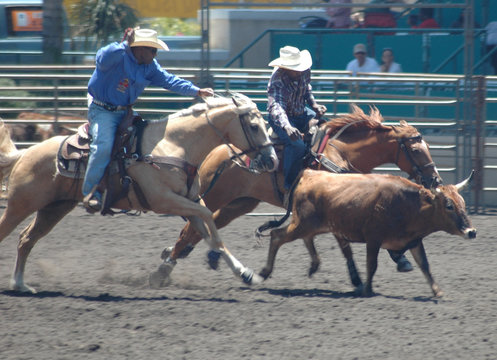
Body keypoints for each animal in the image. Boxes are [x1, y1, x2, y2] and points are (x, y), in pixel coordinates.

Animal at [0, 93, 280, 292]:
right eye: (254, 126)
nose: (272, 160)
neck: (173, 145)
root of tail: (26, 152)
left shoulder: (189, 199)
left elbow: (208, 227)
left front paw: (245, 273)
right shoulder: (165, 201)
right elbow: (207, 219)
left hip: (54, 209)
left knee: (26, 239)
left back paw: (20, 283)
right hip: (20, 204)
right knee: (12, 233)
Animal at [155, 105, 442, 286]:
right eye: (416, 150)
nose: (435, 180)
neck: (340, 153)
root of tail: (216, 152)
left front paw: (399, 259)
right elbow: (343, 242)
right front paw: (358, 276)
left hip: (239, 203)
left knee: (205, 226)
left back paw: (186, 257)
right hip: (215, 196)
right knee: (191, 228)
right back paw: (165, 268)